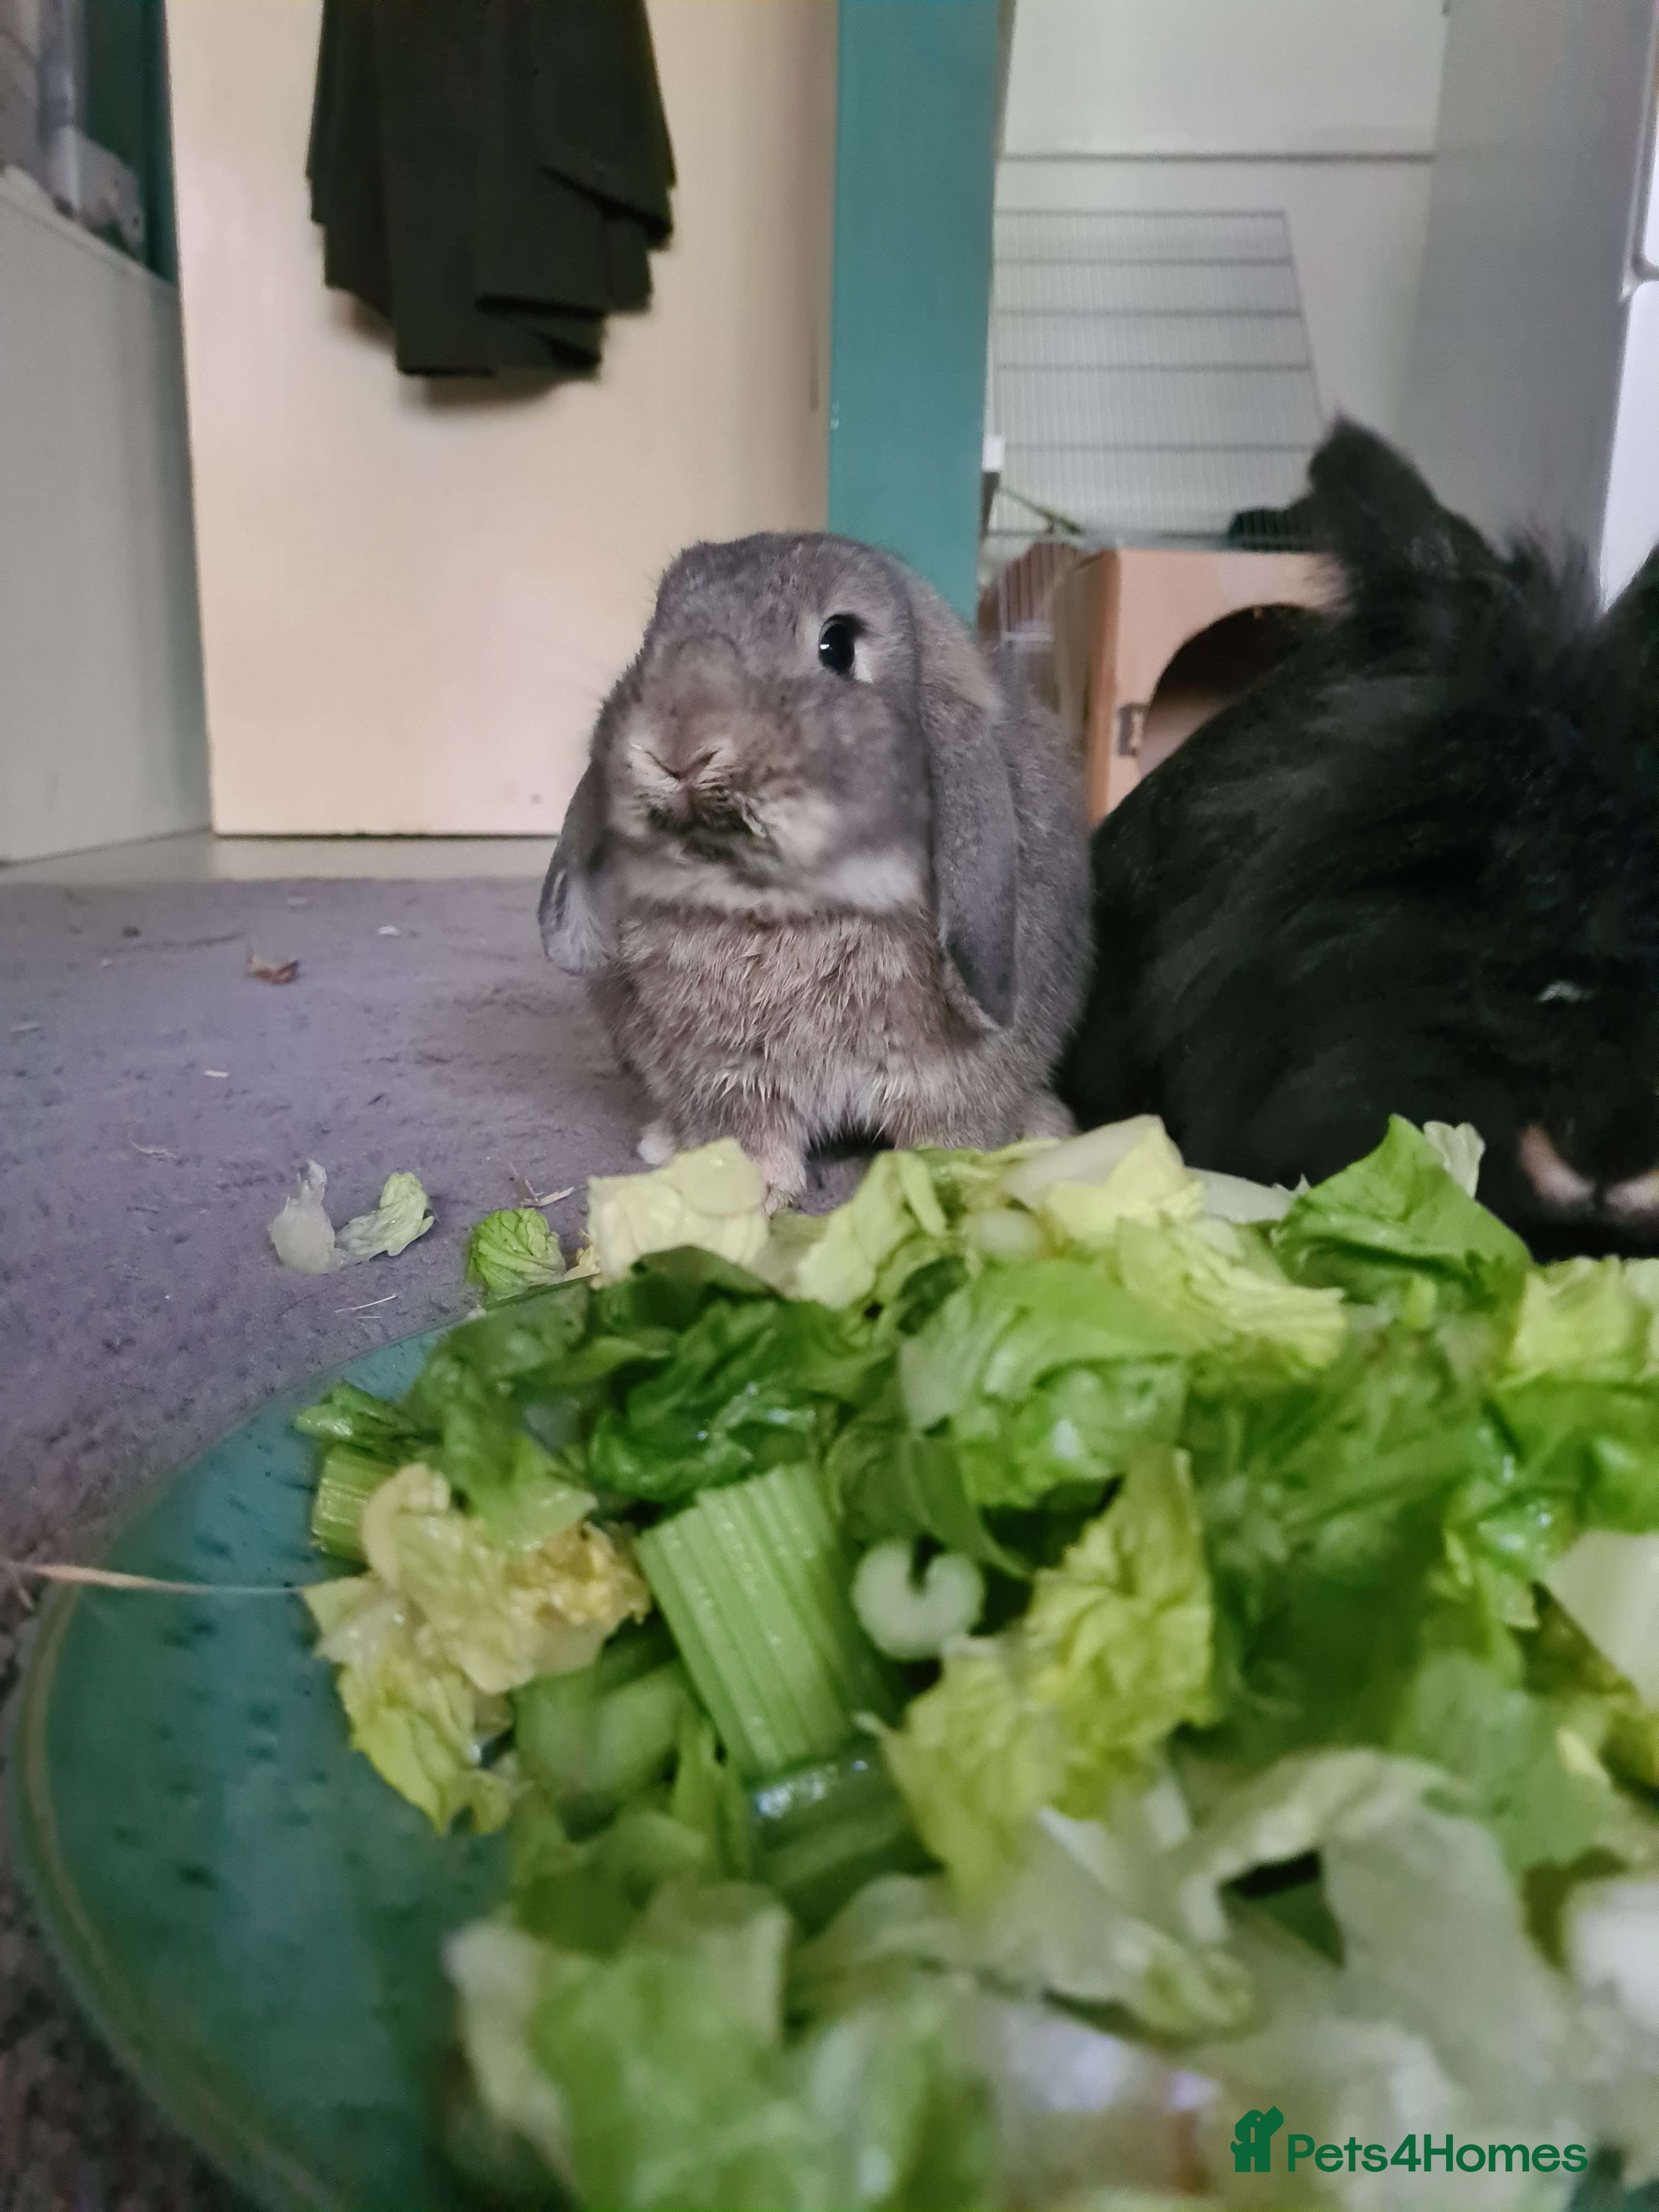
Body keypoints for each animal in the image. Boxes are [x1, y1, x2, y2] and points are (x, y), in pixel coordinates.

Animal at [538, 532, 1091, 1206]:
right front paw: (755, 1197)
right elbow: (753, 1137)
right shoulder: (732, 1076)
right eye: (652, 633)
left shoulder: (949, 1080)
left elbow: (942, 1132)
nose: (678, 749)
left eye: (839, 645)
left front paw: (938, 1187)